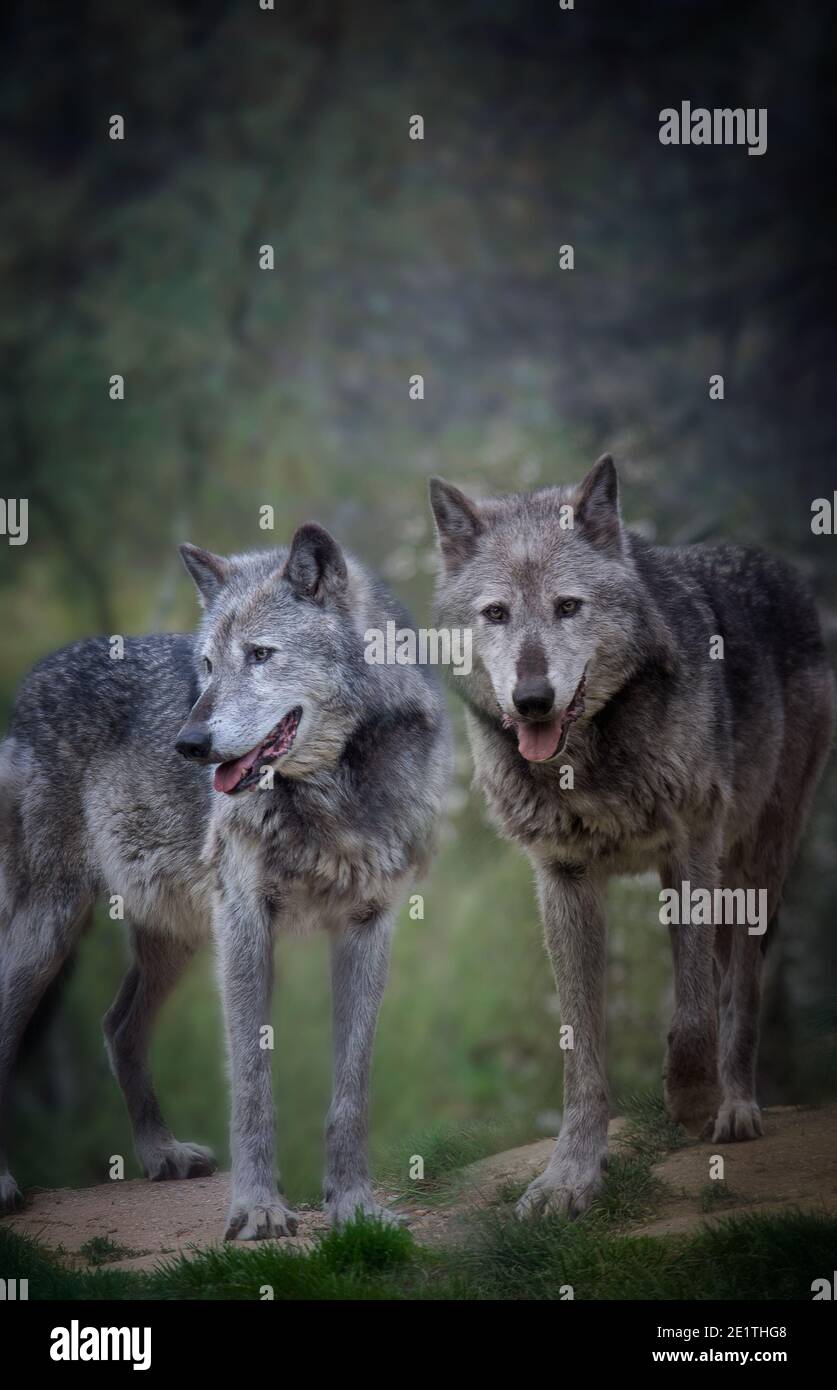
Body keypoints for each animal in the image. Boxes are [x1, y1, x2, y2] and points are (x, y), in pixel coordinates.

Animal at [0, 522, 450, 1239]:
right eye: (208, 665)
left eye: (261, 655)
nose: (188, 744)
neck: (330, 792)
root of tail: (31, 679)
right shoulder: (245, 920)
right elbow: (251, 1080)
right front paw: (258, 1208)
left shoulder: (369, 924)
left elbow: (351, 1091)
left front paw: (353, 1206)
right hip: (49, 927)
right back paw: (8, 1183)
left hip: (173, 938)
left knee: (117, 1026)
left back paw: (160, 1155)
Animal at [431, 453, 828, 1217]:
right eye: (495, 614)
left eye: (568, 607)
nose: (531, 700)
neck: (586, 758)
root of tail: (776, 568)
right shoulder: (563, 878)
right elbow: (581, 1052)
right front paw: (569, 1177)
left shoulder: (691, 852)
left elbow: (694, 1014)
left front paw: (694, 1101)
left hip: (756, 869)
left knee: (740, 988)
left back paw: (735, 1105)